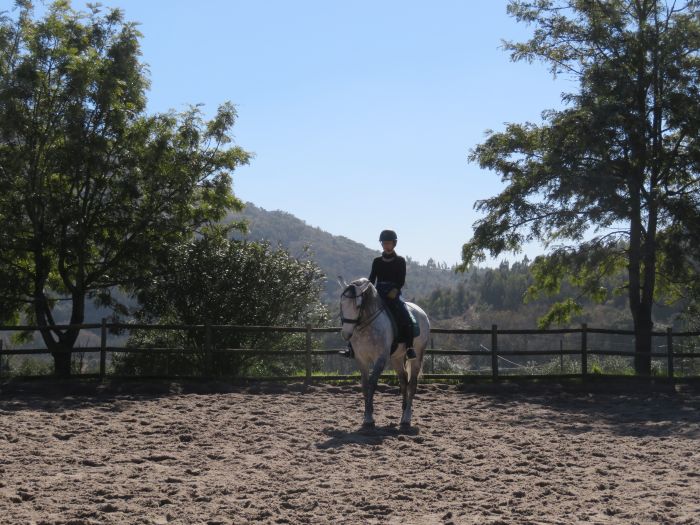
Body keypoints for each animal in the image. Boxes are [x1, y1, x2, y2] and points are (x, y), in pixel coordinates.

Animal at [340, 276, 432, 428]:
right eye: (341, 303)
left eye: (358, 306)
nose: (346, 334)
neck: (367, 326)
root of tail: (421, 312)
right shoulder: (361, 359)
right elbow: (364, 385)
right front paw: (367, 415)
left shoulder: (380, 359)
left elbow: (372, 384)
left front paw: (369, 418)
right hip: (396, 358)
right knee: (403, 381)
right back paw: (403, 412)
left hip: (417, 356)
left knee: (412, 384)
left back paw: (407, 417)